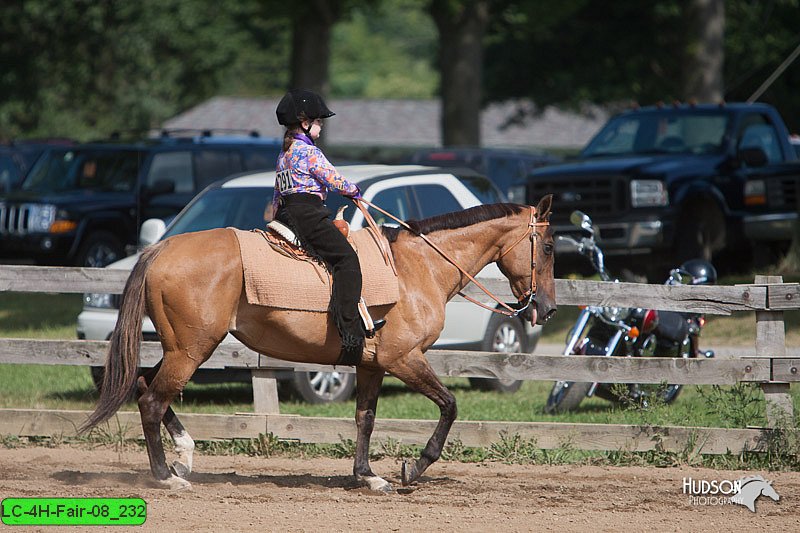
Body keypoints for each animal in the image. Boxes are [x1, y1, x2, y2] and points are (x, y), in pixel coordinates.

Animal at [81, 194, 556, 490]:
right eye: (549, 246)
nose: (547, 308)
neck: (417, 268)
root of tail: (159, 250)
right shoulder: (404, 358)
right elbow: (449, 405)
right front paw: (413, 469)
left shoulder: (371, 364)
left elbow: (365, 418)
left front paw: (369, 476)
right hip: (191, 350)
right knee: (151, 400)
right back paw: (167, 476)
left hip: (179, 349)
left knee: (145, 386)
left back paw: (184, 455)